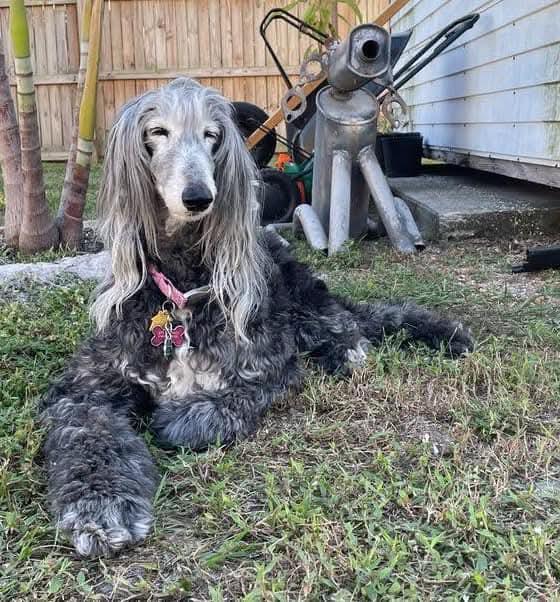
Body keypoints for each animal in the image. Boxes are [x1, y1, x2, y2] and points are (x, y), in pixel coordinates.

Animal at [39, 77, 472, 556]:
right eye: (158, 132)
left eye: (212, 135)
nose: (198, 197)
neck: (182, 290)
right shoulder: (87, 385)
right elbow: (88, 432)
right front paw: (101, 507)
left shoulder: (269, 363)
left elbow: (233, 400)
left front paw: (184, 418)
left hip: (297, 297)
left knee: (348, 324)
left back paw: (347, 352)